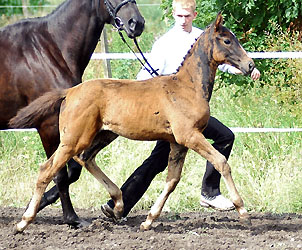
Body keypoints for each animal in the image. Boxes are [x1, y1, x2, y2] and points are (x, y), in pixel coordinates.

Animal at [1, 0, 145, 227]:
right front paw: (72, 218)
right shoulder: (49, 126)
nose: (136, 23)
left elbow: (72, 171)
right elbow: (59, 174)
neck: (50, 49)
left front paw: (37, 205)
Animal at [10, 13, 255, 232]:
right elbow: (221, 161)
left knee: (85, 159)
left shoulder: (177, 143)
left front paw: (148, 221)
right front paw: (243, 211)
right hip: (73, 139)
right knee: (47, 170)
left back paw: (118, 205)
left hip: (104, 134)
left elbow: (172, 180)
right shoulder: (190, 136)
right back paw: (23, 222)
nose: (250, 66)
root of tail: (69, 92)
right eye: (227, 40)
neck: (187, 87)